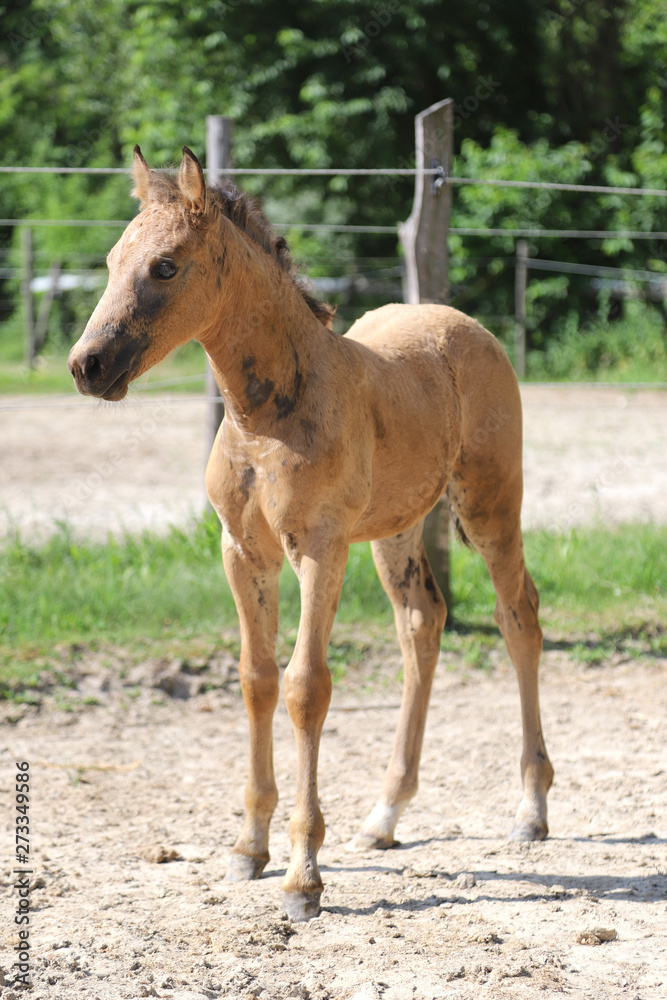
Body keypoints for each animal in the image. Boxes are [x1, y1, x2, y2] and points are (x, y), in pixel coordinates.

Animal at [70, 148, 556, 920]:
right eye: (114, 259)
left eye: (166, 266)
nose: (87, 366)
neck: (264, 416)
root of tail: (463, 324)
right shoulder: (242, 554)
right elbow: (256, 679)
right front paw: (249, 848)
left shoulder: (320, 552)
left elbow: (305, 687)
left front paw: (303, 875)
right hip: (397, 528)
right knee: (422, 622)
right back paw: (384, 816)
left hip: (488, 504)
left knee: (519, 618)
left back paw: (531, 809)